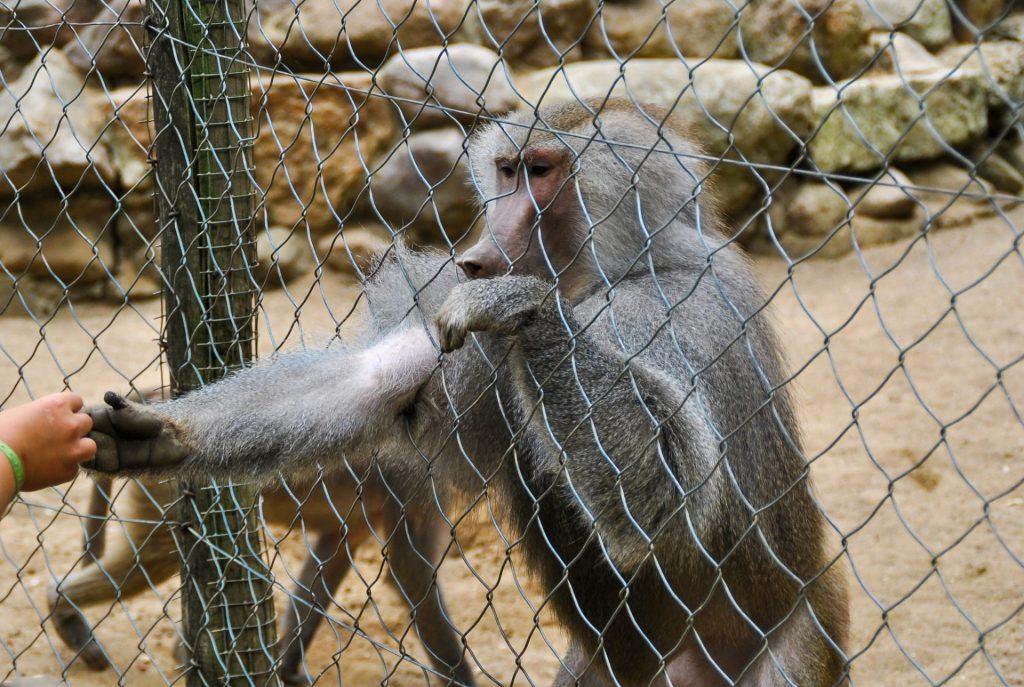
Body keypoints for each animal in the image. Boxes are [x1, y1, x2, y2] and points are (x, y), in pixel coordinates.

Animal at [49, 469, 475, 686]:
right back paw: (63, 610)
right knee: (153, 557)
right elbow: (410, 573)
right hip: (169, 487)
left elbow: (334, 551)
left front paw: (286, 670)